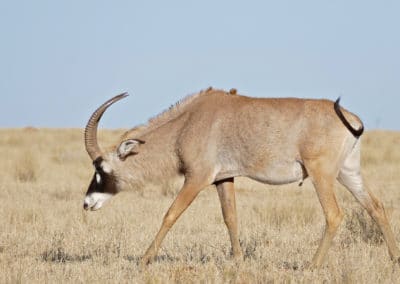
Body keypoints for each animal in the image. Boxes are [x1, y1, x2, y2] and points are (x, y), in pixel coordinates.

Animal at [82, 87, 400, 268]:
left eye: (101, 169)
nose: (87, 204)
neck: (189, 122)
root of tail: (350, 118)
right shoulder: (223, 179)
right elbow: (230, 217)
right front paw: (238, 259)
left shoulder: (197, 178)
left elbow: (170, 214)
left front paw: (145, 259)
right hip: (348, 173)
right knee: (376, 206)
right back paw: (394, 258)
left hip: (321, 174)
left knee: (334, 214)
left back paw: (313, 266)